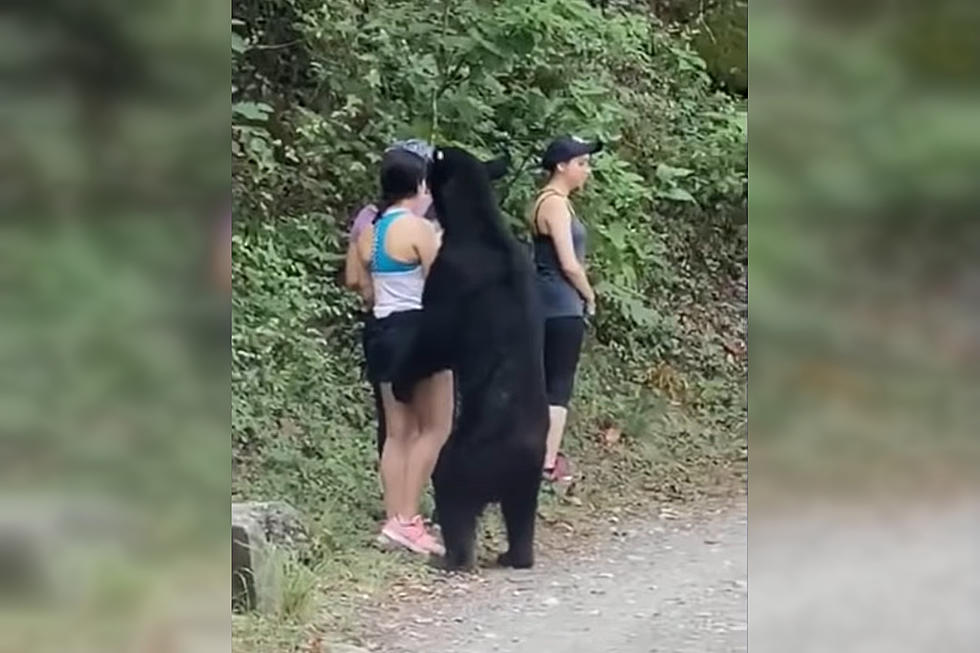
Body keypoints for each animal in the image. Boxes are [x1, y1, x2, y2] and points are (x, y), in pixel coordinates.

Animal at [392, 146, 552, 564]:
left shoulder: (449, 274)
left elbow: (433, 339)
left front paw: (401, 381)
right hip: (527, 480)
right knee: (521, 515)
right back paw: (516, 555)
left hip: (465, 457)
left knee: (453, 494)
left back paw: (452, 557)